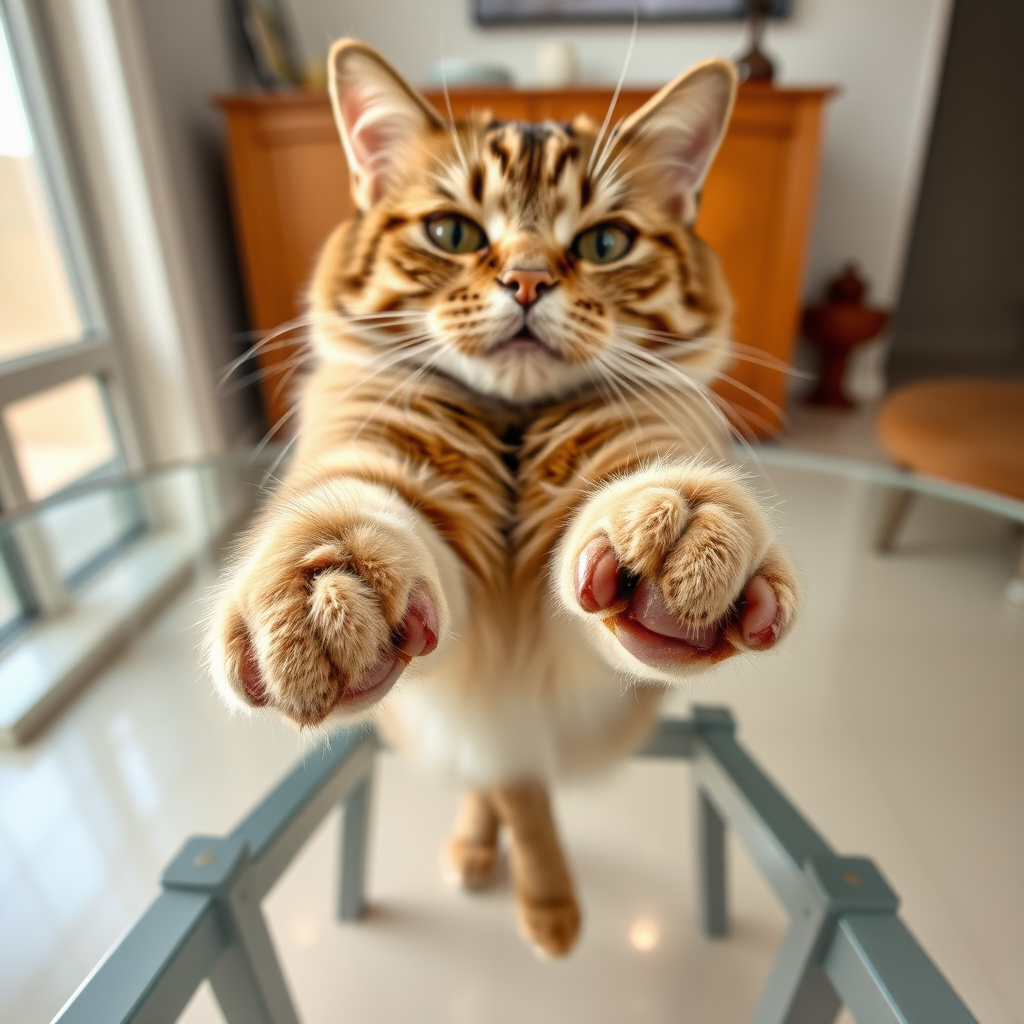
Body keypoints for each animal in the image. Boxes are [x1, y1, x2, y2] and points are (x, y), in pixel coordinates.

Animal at [209, 39, 798, 958]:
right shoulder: (410, 517)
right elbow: (349, 512)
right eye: (452, 232)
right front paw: (318, 596)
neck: (514, 435)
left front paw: (692, 536)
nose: (525, 281)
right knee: (499, 777)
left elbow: (647, 492)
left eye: (604, 242)